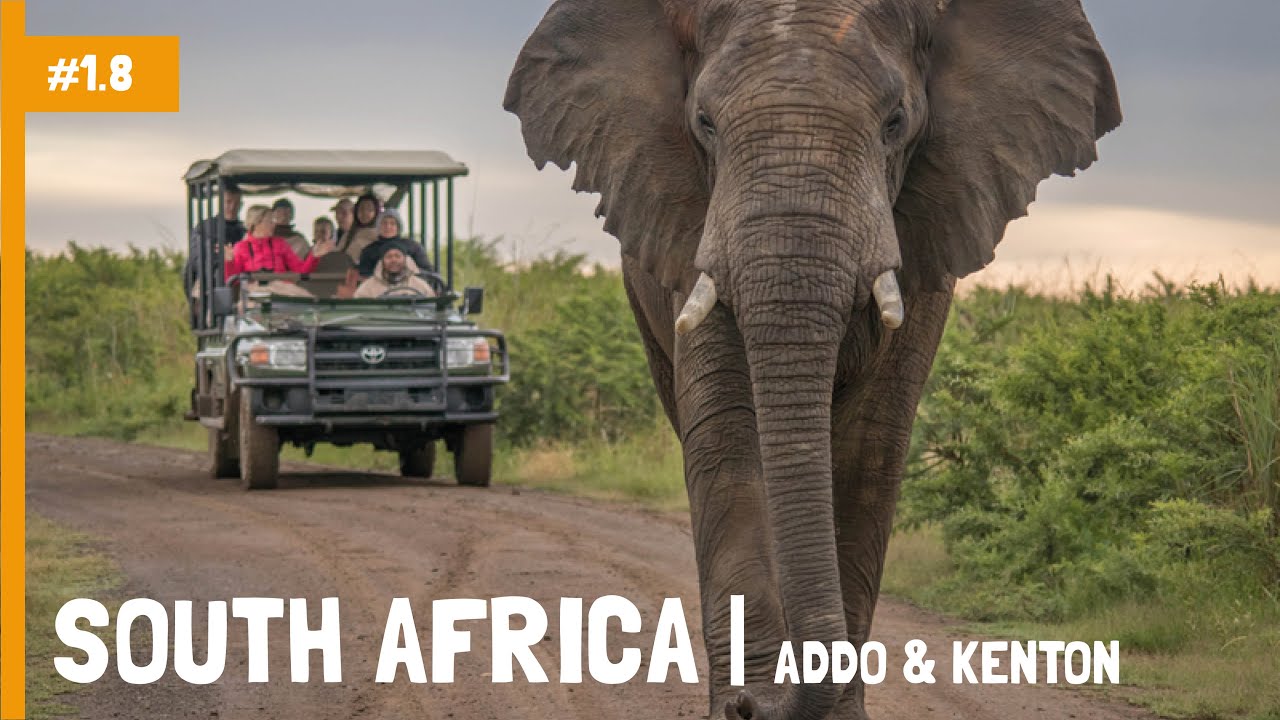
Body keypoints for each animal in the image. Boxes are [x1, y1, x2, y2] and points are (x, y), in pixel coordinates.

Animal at [504, 0, 1120, 718]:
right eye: (704, 123)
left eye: (895, 122)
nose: (750, 704)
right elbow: (727, 440)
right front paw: (740, 702)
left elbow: (867, 451)